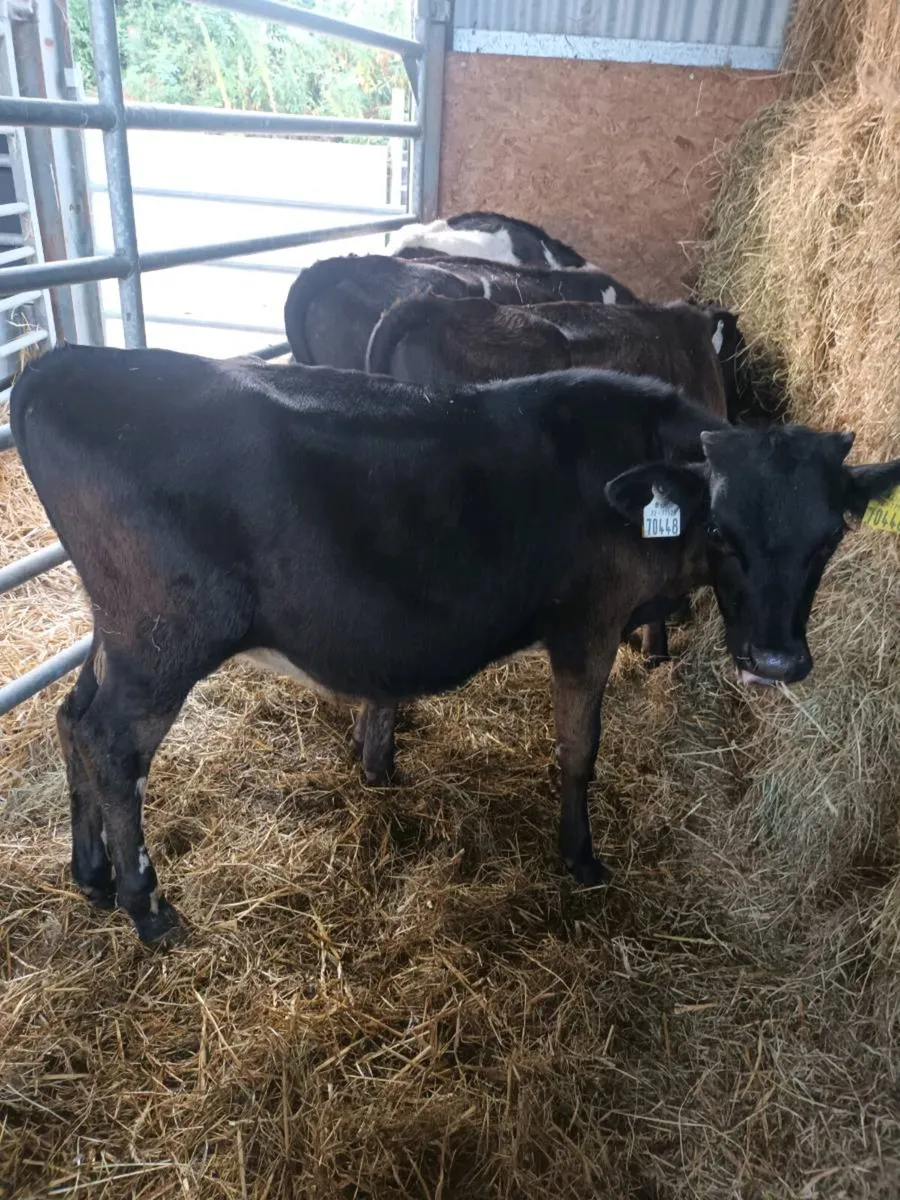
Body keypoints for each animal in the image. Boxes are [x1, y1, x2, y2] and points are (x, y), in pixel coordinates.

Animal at [12, 345, 899, 943]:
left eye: (830, 536)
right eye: (721, 530)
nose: (777, 660)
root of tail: (64, 364)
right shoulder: (587, 624)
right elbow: (579, 748)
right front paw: (580, 856)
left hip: (113, 629)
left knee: (71, 719)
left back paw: (90, 874)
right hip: (166, 637)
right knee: (112, 745)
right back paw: (145, 905)